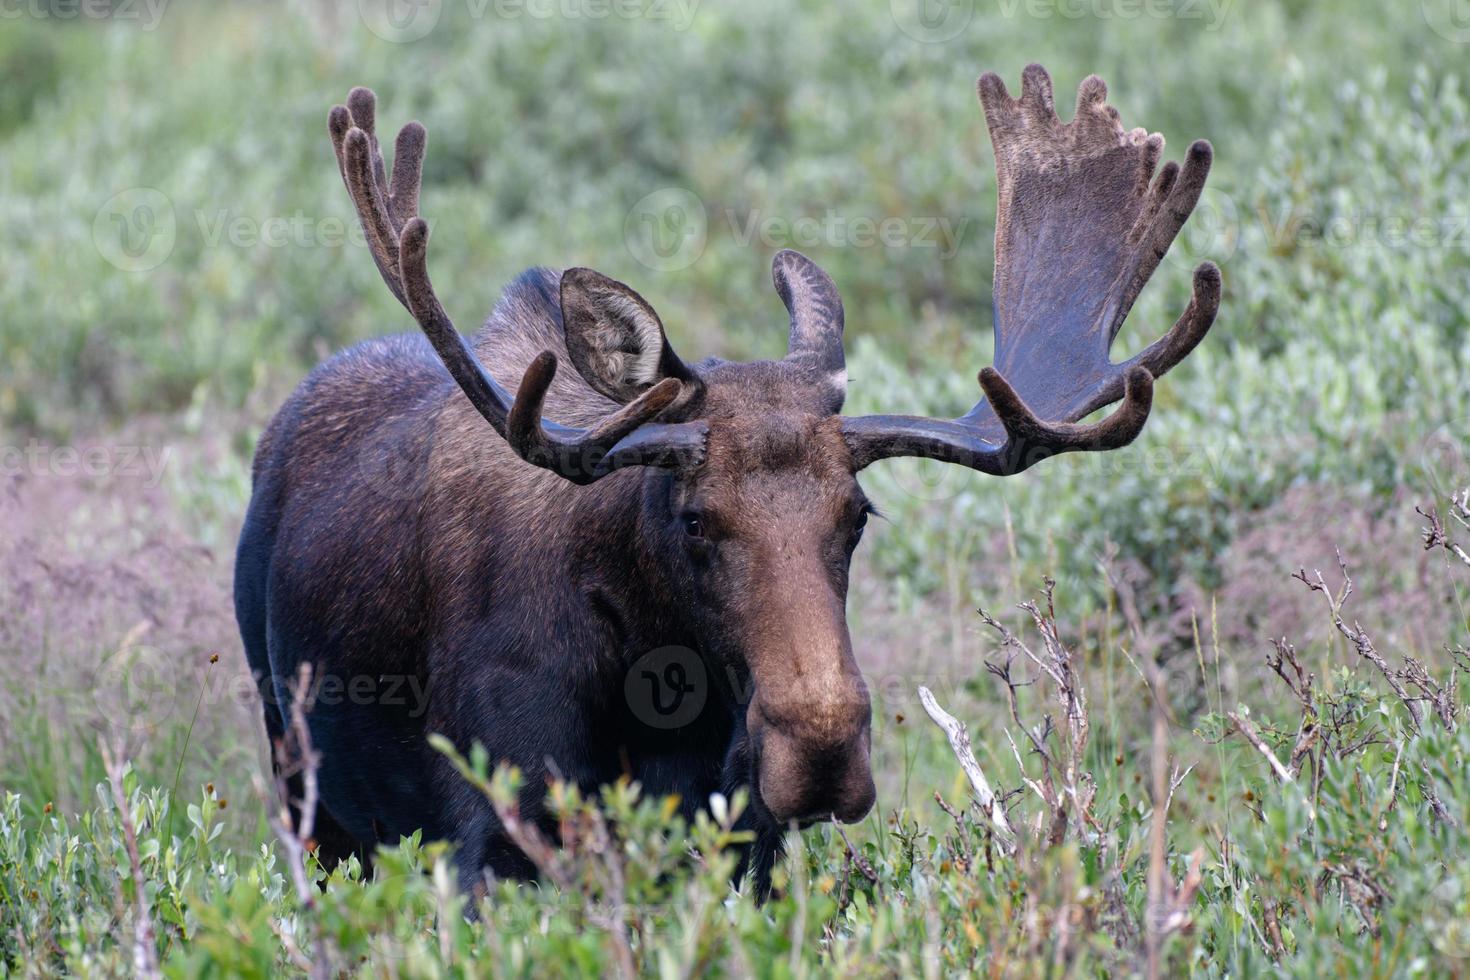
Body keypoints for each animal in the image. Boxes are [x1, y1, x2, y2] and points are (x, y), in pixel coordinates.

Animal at [235, 63, 1223, 899]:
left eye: (858, 515)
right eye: (696, 520)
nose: (821, 750)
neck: (659, 694)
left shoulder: (743, 846)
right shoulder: (496, 836)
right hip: (306, 792)